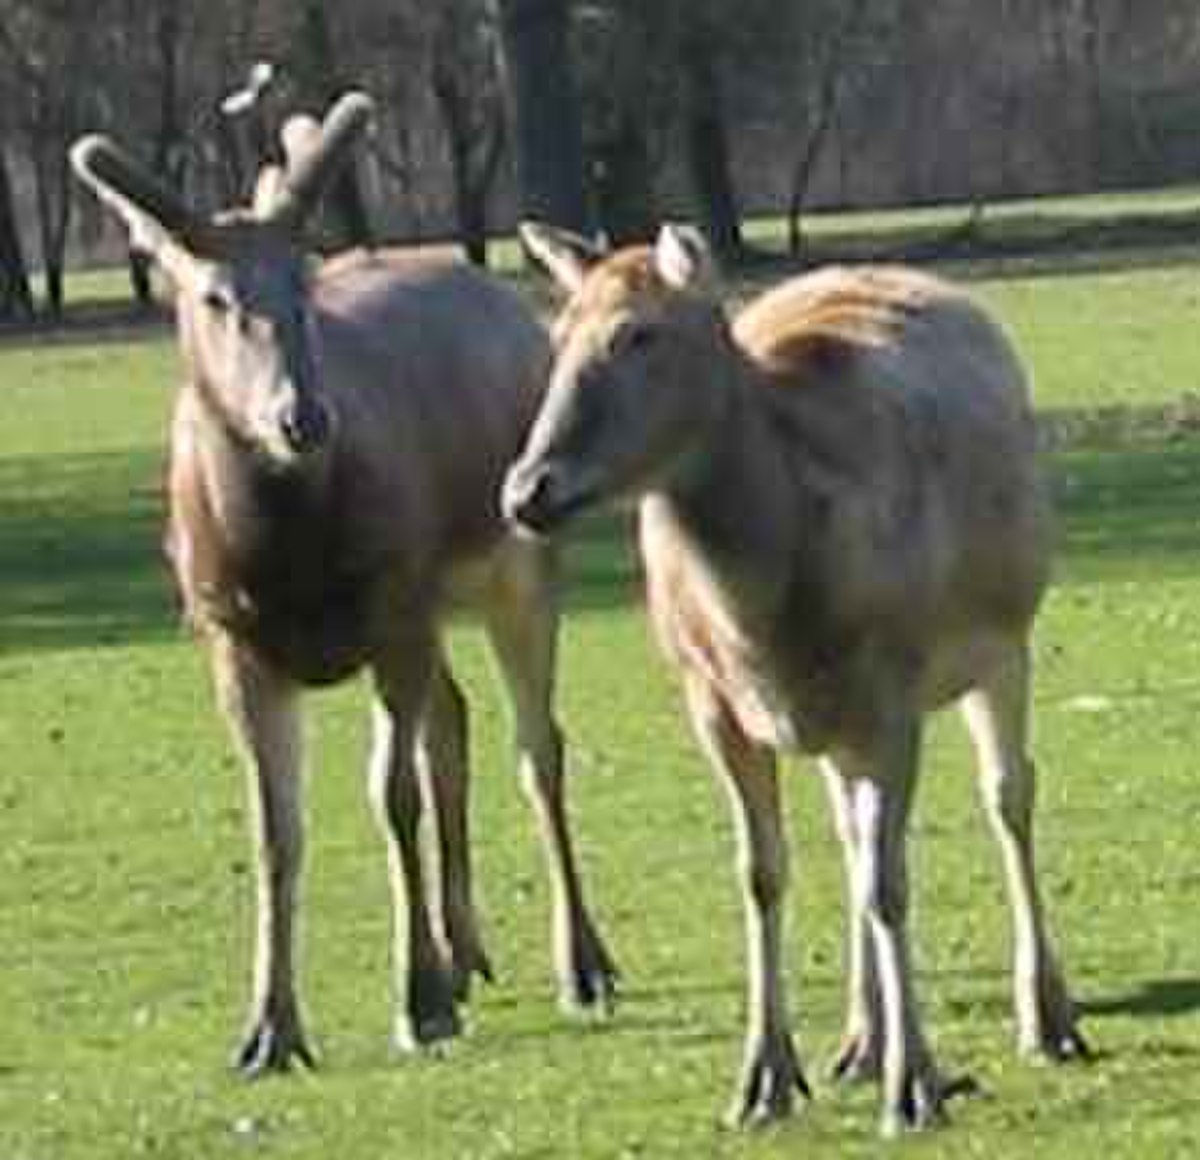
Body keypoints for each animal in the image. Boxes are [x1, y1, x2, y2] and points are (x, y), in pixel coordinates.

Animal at [69, 93, 617, 1077]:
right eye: (214, 296)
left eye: (303, 286)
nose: (304, 417)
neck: (289, 559)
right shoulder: (229, 637)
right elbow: (273, 829)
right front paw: (269, 1029)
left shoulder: (392, 602)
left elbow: (387, 794)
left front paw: (418, 1002)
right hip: (432, 602)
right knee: (455, 719)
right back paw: (467, 951)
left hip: (513, 562)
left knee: (536, 745)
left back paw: (580, 965)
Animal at [502, 223, 1089, 1137]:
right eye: (557, 336)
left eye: (639, 334)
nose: (527, 490)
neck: (763, 624)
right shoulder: (712, 703)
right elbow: (763, 872)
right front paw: (763, 1080)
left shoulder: (891, 694)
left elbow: (891, 885)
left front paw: (915, 1088)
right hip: (835, 724)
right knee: (850, 833)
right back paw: (858, 1040)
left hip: (1001, 642)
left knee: (1008, 797)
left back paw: (1047, 1018)